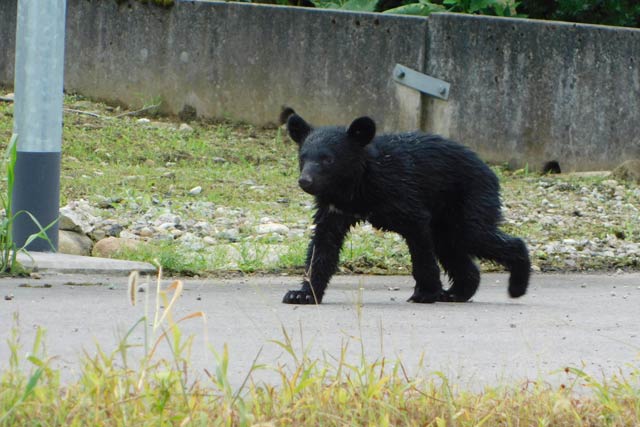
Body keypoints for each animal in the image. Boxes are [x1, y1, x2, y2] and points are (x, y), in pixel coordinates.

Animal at [282, 112, 531, 305]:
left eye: (328, 160)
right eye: (303, 158)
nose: (305, 181)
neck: (354, 185)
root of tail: (489, 171)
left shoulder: (399, 190)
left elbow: (418, 236)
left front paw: (426, 292)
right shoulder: (334, 208)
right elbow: (323, 244)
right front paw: (301, 295)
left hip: (469, 197)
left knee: (475, 235)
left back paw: (517, 285)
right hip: (447, 217)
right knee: (451, 247)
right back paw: (457, 292)